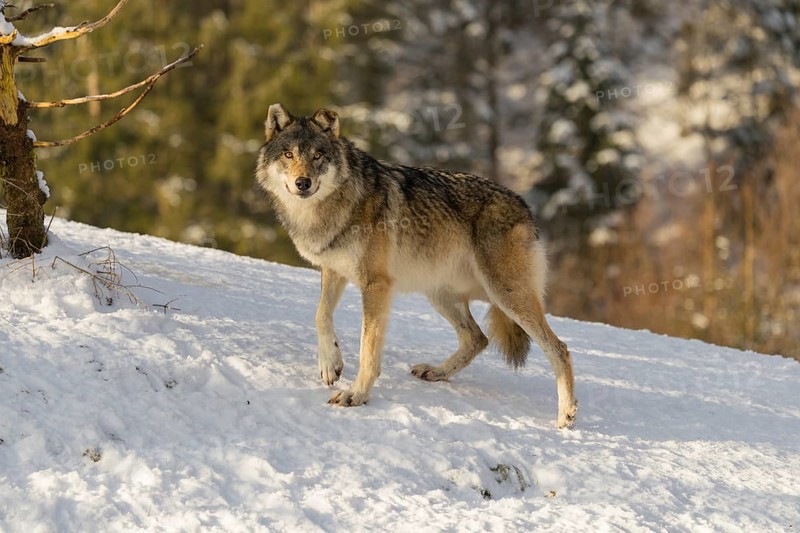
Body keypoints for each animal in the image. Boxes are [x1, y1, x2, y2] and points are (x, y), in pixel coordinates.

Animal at [255, 104, 578, 428]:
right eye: (288, 154)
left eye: (318, 155)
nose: (303, 183)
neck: (330, 208)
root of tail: (525, 208)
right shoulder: (334, 271)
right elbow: (321, 315)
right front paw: (330, 365)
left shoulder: (376, 285)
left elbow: (368, 349)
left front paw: (356, 395)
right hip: (441, 295)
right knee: (477, 338)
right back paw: (436, 372)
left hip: (506, 295)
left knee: (559, 348)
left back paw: (566, 415)